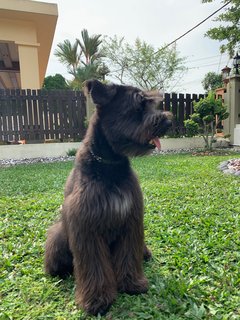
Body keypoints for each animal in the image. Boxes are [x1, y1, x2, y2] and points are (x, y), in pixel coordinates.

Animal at [44, 79, 172, 316]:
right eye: (138, 105)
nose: (168, 119)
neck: (108, 164)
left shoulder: (130, 220)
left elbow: (128, 255)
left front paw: (132, 283)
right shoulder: (87, 227)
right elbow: (94, 266)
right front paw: (96, 299)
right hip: (59, 234)